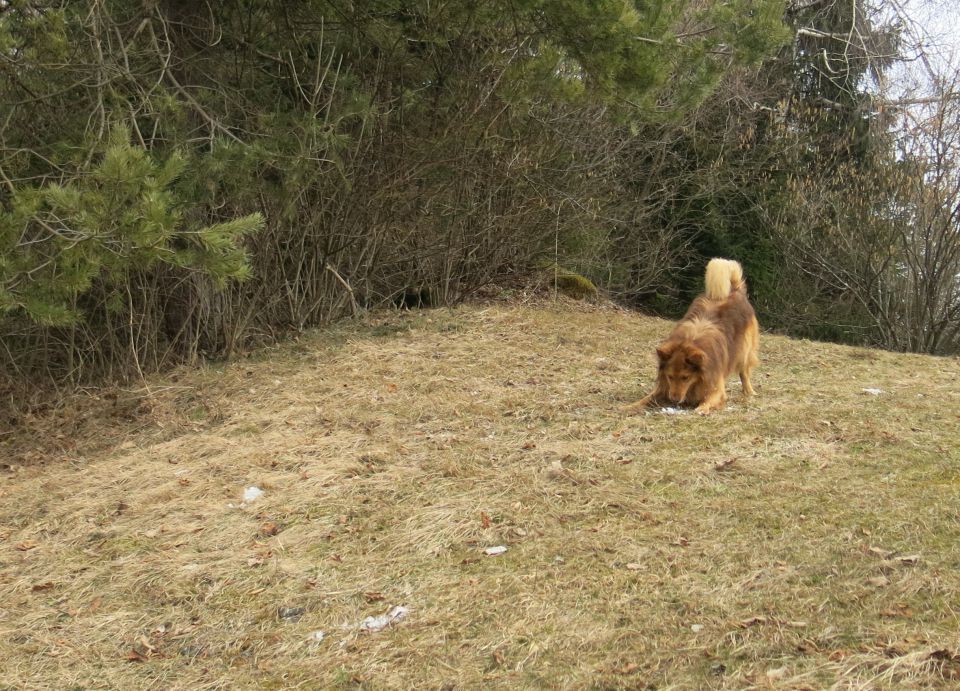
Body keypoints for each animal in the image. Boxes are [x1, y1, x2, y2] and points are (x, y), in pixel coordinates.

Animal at [628, 258, 760, 414]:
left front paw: (701, 408)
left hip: (744, 350)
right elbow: (647, 398)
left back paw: (749, 391)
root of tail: (735, 289)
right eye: (670, 376)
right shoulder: (664, 387)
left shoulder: (715, 384)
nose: (673, 400)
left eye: (685, 378)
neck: (689, 341)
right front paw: (630, 406)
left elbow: (710, 398)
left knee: (744, 372)